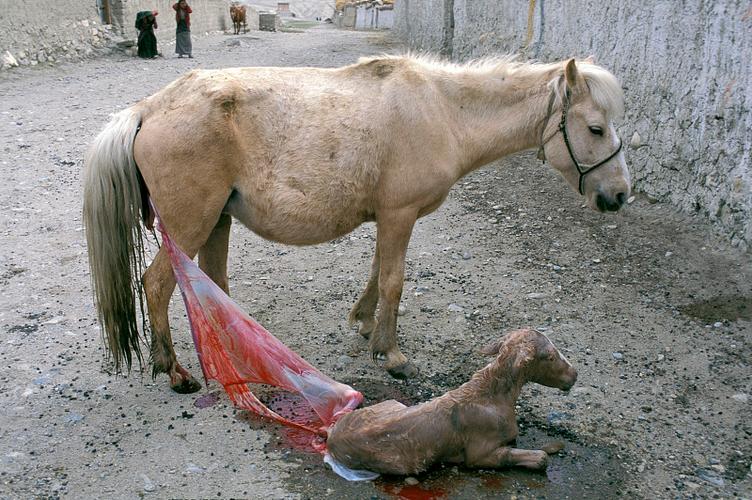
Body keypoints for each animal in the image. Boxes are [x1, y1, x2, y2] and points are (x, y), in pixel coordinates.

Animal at [82, 54, 630, 393]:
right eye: (595, 128)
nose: (620, 195)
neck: (443, 112)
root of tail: (148, 109)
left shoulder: (390, 218)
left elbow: (376, 273)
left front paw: (365, 325)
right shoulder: (399, 215)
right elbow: (393, 280)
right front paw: (391, 354)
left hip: (217, 222)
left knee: (212, 285)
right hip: (191, 227)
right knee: (156, 286)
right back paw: (173, 371)